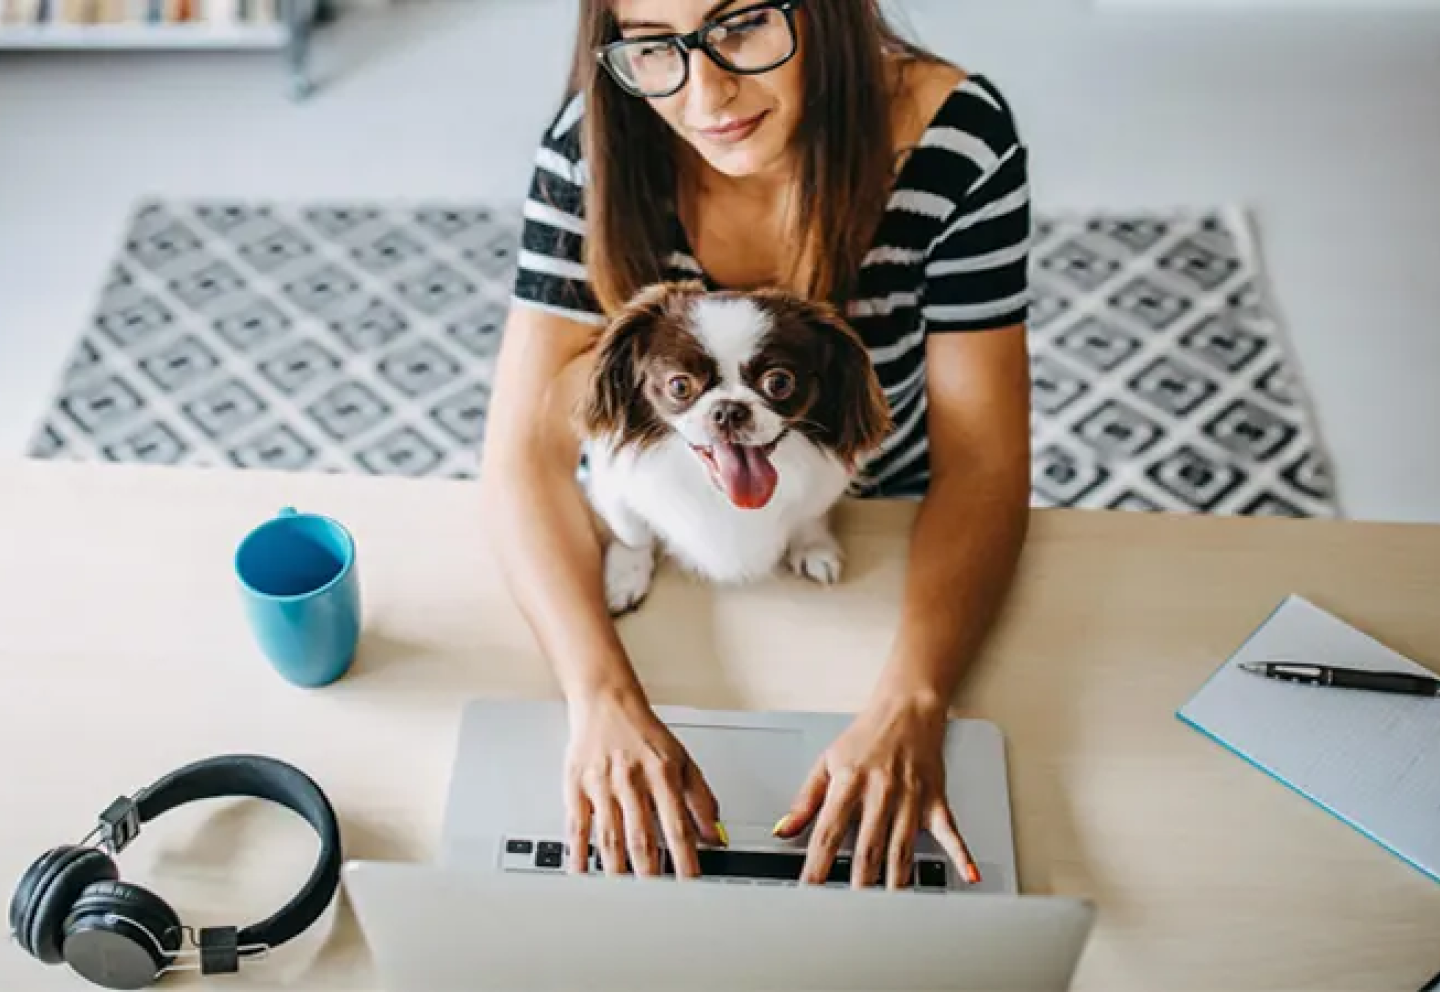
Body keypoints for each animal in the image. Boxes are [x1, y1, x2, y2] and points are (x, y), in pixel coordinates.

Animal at [573, 274, 887, 607]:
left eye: (779, 382)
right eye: (679, 385)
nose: (728, 411)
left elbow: (810, 518)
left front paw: (813, 547)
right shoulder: (613, 488)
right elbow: (631, 533)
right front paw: (626, 574)